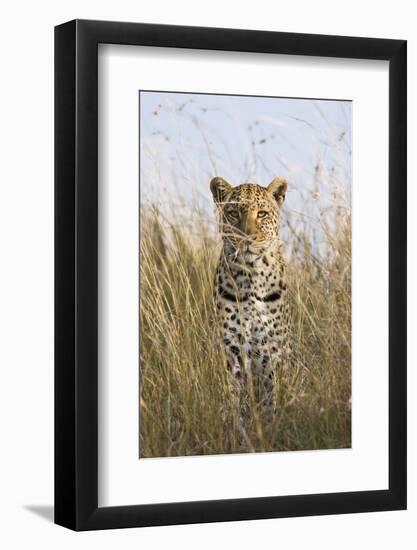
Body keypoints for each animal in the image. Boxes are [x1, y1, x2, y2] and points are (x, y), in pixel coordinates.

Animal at [210, 175, 290, 412]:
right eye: (233, 213)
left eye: (262, 214)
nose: (247, 239)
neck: (253, 276)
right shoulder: (232, 349)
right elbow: (235, 396)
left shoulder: (272, 349)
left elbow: (272, 393)